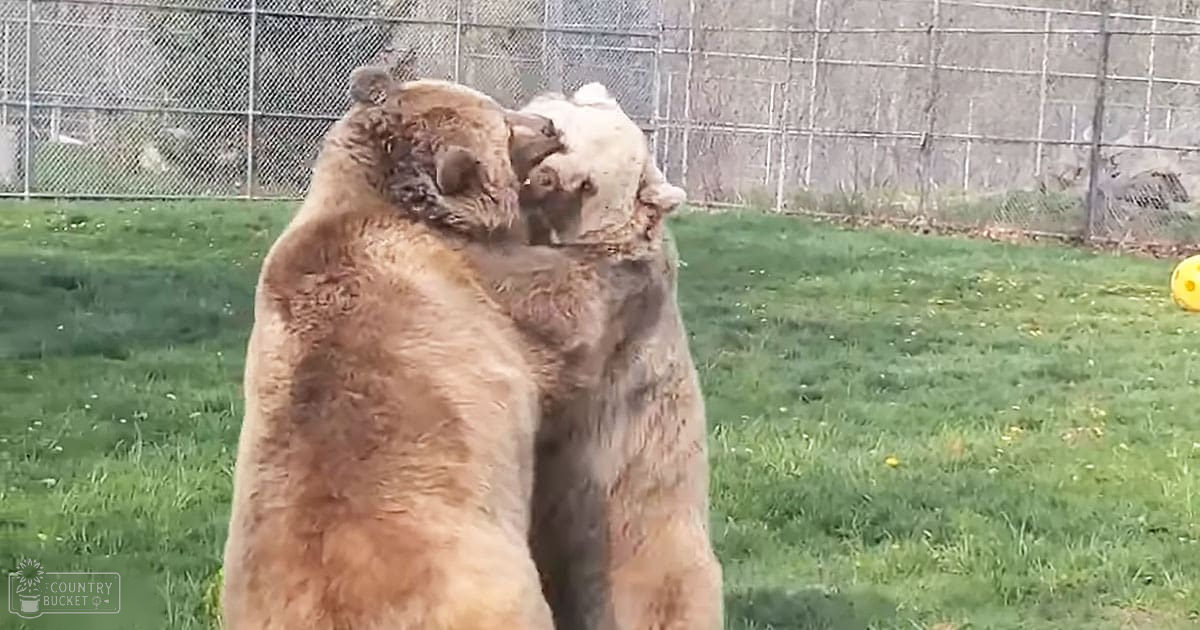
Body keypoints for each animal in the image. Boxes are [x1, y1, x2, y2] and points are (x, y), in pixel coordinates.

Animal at [221, 67, 671, 630]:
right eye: (504, 125)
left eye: (499, 107)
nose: (548, 125)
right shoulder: (488, 307)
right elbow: (563, 319)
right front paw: (628, 257)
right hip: (497, 592)